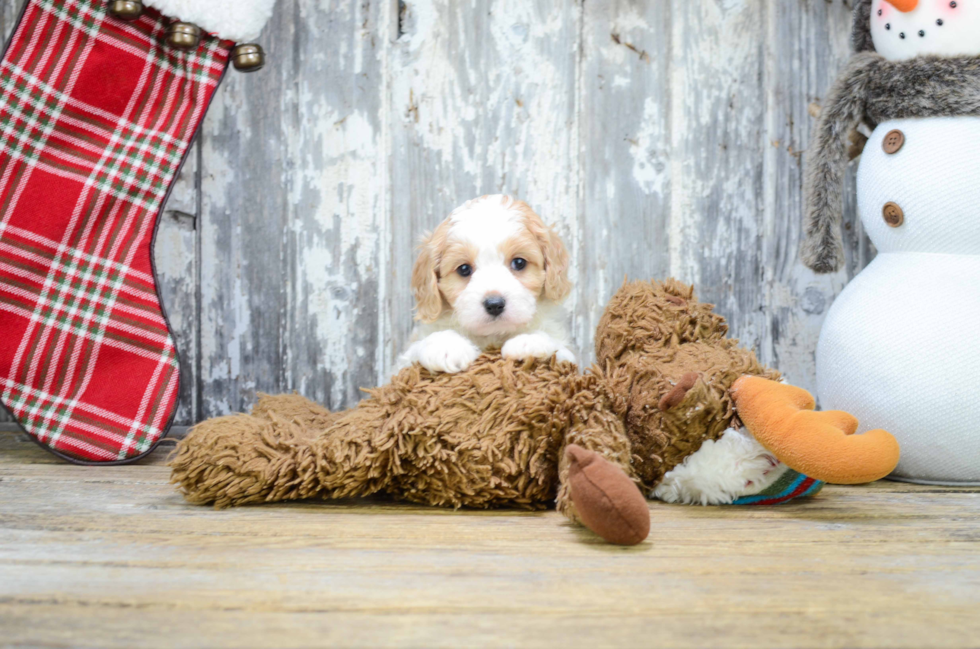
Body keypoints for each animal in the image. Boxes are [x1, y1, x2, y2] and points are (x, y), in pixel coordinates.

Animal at [400, 195, 576, 372]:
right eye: (464, 269)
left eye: (519, 262)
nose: (494, 304)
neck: (493, 336)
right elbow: (417, 347)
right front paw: (446, 346)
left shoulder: (569, 357)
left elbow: (559, 348)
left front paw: (530, 340)